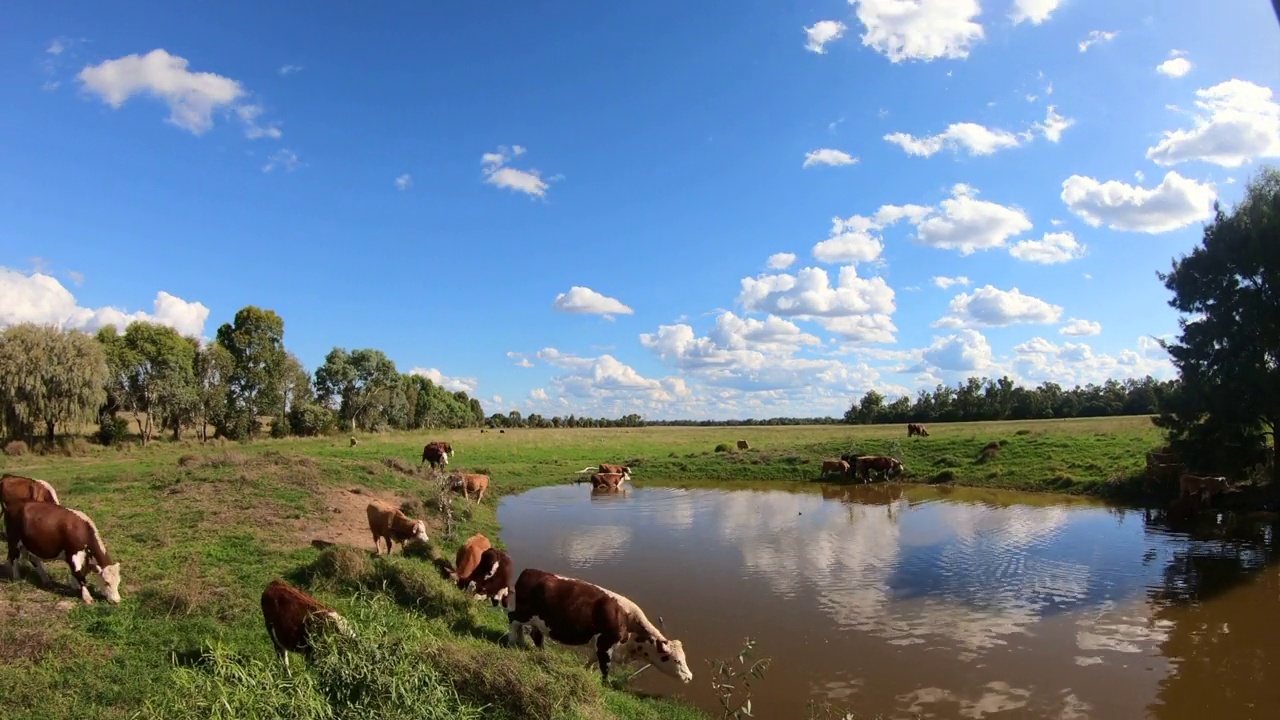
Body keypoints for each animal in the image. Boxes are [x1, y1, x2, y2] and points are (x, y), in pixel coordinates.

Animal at [504, 566, 696, 676]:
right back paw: (513, 642)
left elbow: (592, 660)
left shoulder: (601, 644)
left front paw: (586, 671)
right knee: (512, 619)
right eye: (676, 660)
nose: (689, 677)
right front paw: (605, 684)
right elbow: (604, 667)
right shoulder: (606, 644)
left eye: (683, 658)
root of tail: (531, 571)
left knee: (534, 634)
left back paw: (534, 648)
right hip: (525, 613)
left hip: (537, 620)